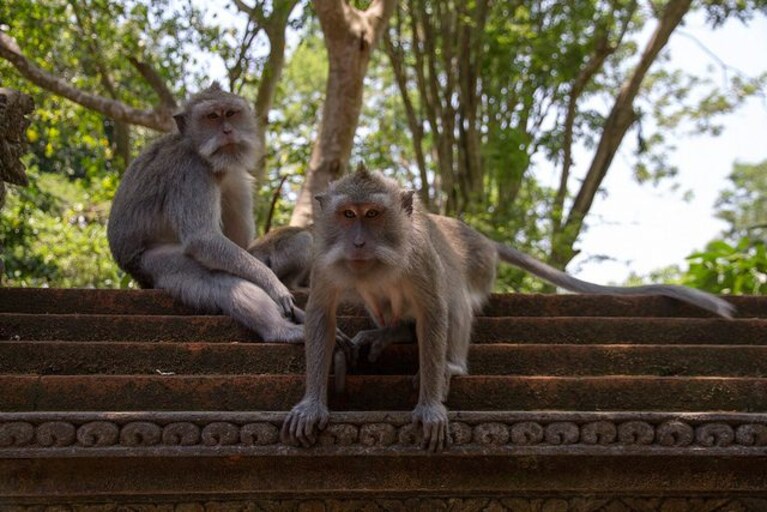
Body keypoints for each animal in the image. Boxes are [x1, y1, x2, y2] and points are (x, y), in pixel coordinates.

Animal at [107, 83, 305, 342]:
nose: (228, 131)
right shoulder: (191, 172)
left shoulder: (234, 173)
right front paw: (272, 284)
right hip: (147, 262)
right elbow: (202, 239)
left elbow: (239, 242)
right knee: (217, 279)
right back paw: (279, 331)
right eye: (212, 117)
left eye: (230, 113)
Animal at [280, 167, 735, 452]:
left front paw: (431, 403)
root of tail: (482, 239)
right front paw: (312, 404)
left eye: (373, 214)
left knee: (455, 297)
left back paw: (448, 362)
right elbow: (321, 315)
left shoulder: (419, 256)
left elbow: (435, 310)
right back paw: (389, 332)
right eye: (347, 215)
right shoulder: (323, 259)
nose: (358, 243)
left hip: (478, 269)